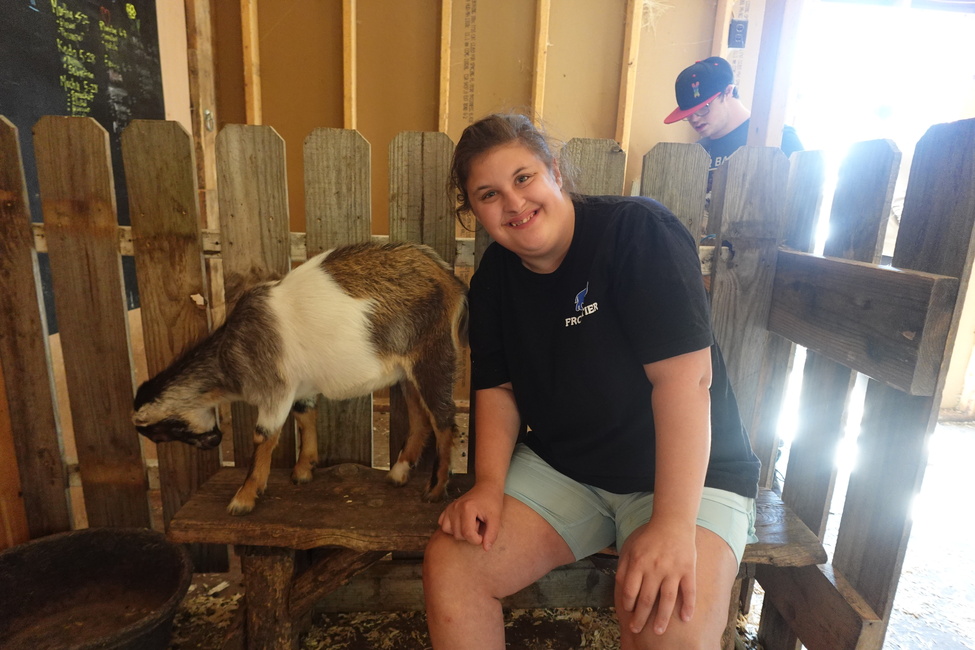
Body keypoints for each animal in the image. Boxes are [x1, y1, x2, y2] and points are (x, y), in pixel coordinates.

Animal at [133, 240, 468, 512]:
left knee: (444, 419)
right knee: (420, 416)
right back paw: (399, 472)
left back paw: (435, 489)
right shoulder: (301, 389)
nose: (213, 442)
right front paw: (304, 469)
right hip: (406, 371)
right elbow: (305, 417)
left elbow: (264, 436)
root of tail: (450, 280)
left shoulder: (275, 389)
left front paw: (244, 497)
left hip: (434, 355)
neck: (232, 353)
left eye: (162, 432)